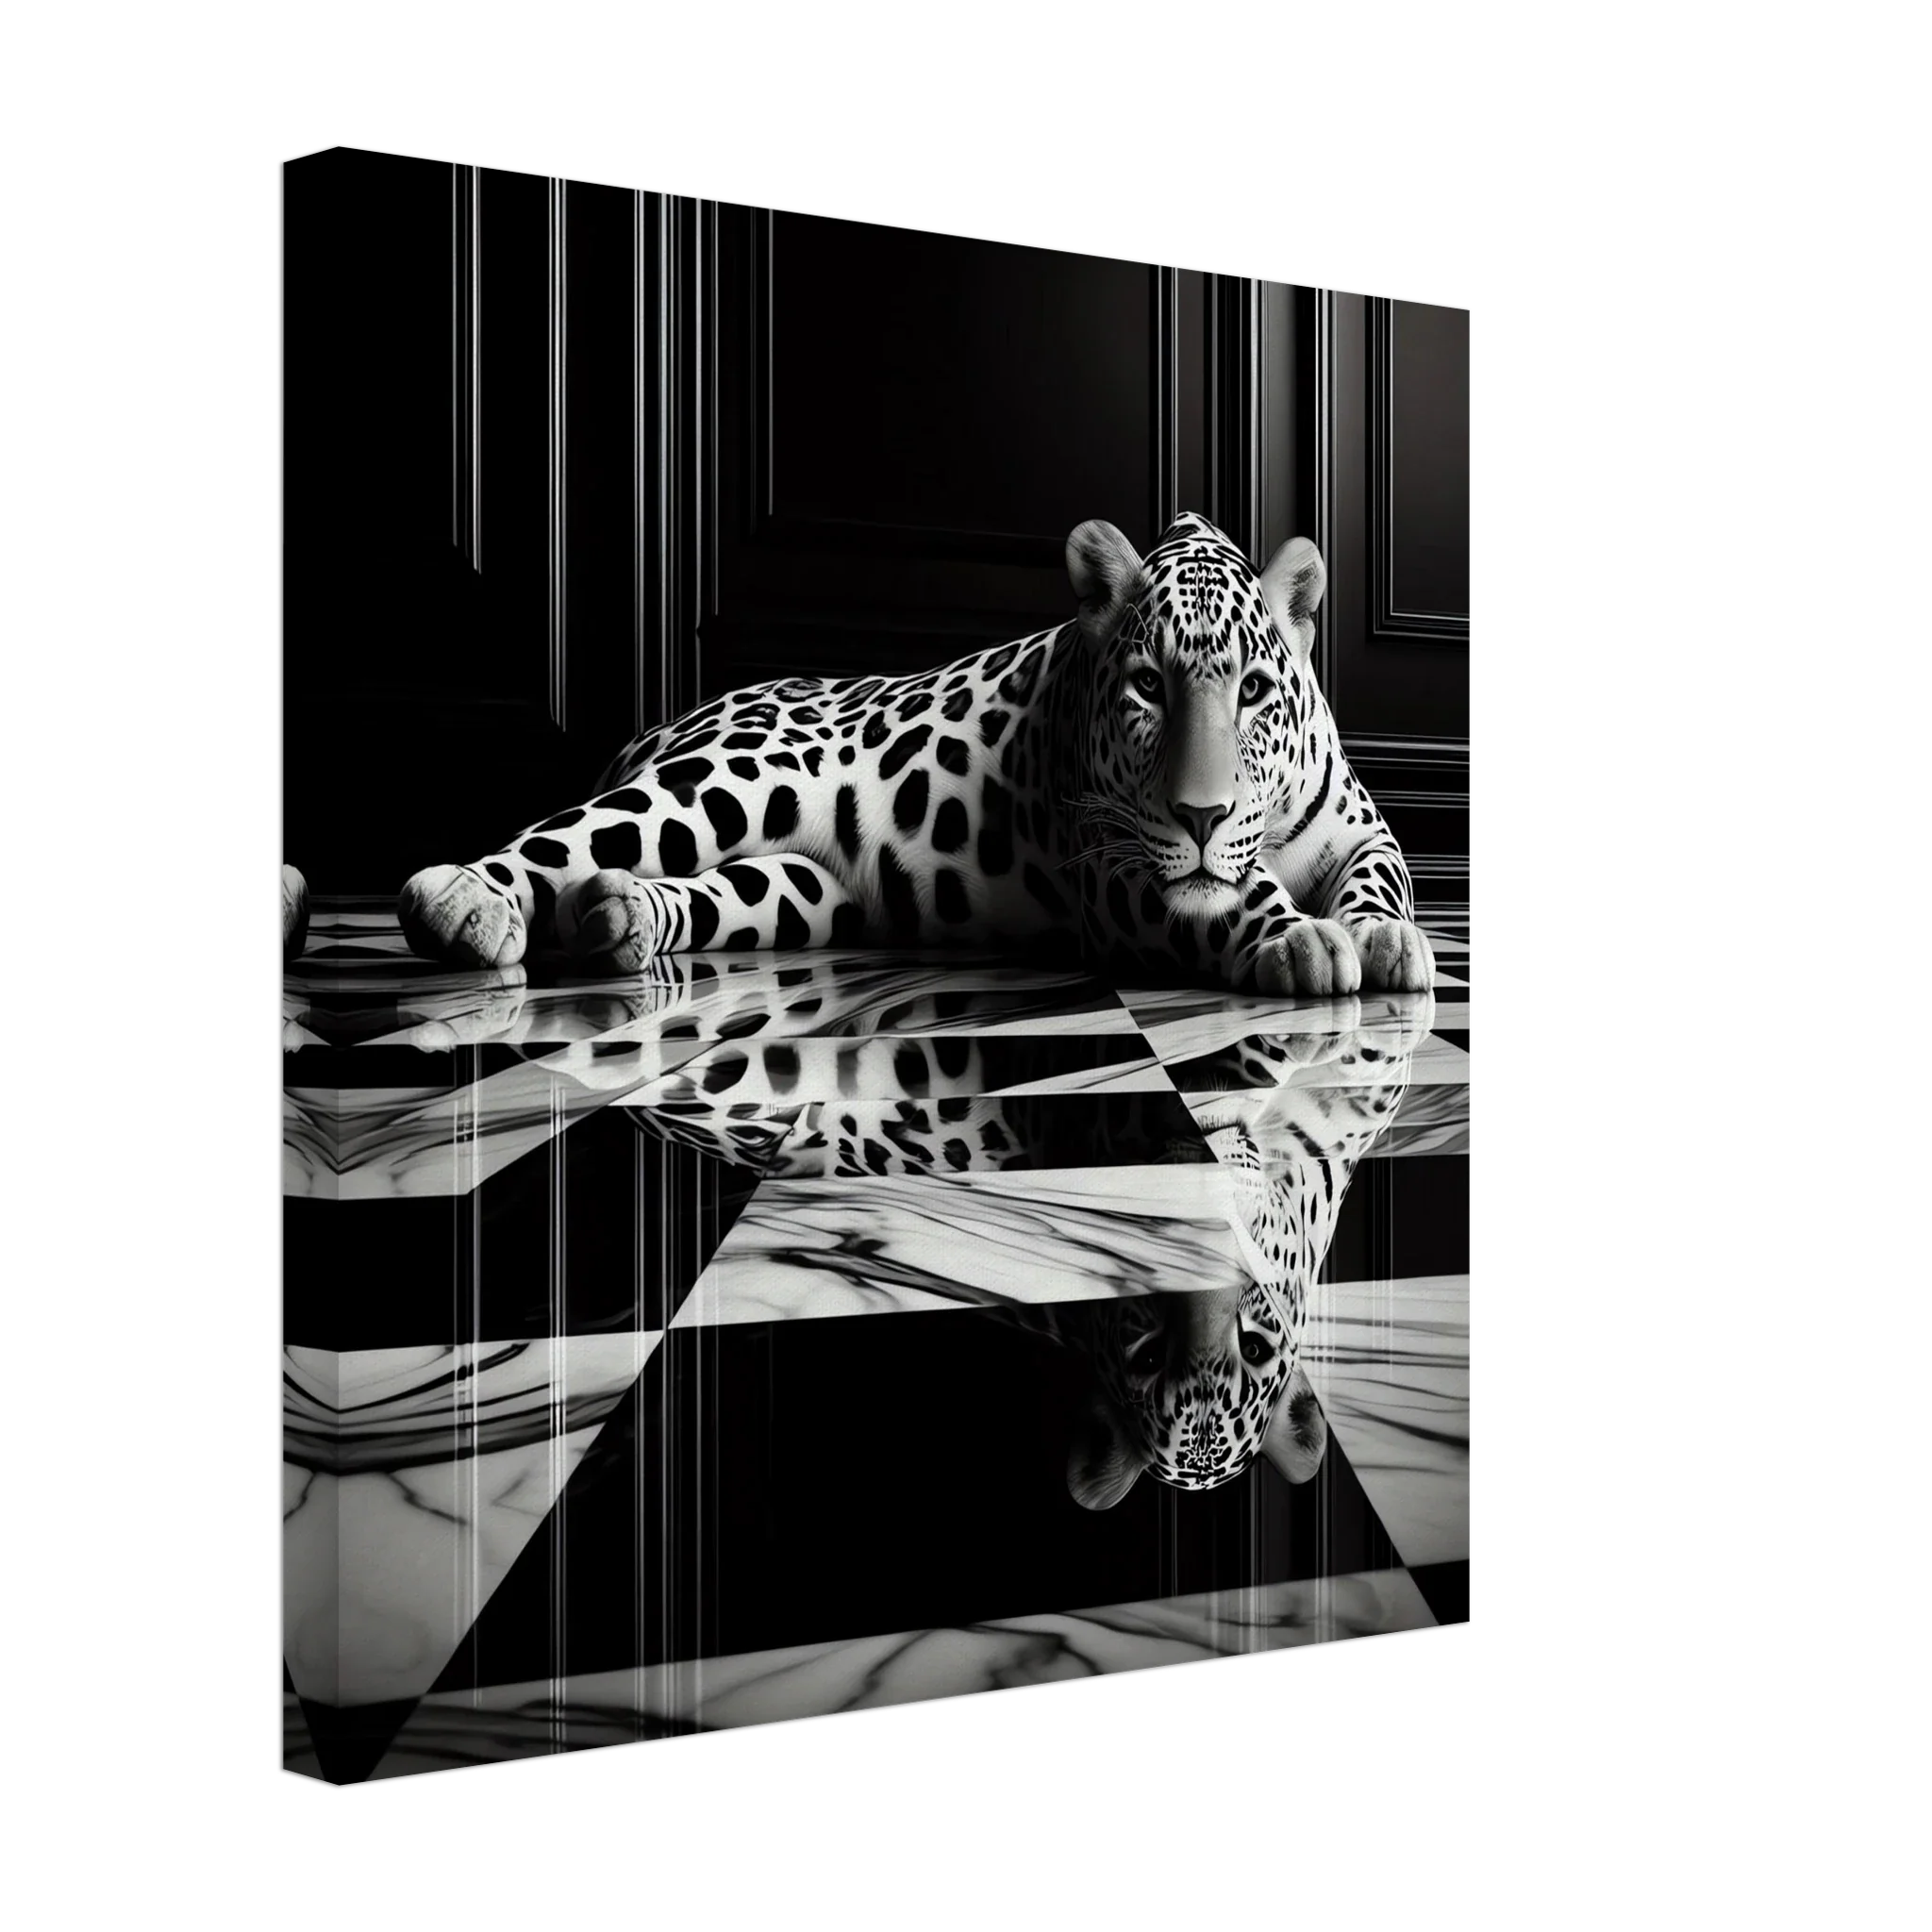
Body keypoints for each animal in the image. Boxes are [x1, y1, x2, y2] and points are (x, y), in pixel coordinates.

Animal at [392, 512, 1434, 998]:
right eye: (1147, 685)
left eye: (1252, 690)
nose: (1202, 814)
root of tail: (660, 725)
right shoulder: (1120, 869)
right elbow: (1236, 892)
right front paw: (1299, 937)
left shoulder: (1364, 831)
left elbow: (1378, 880)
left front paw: (1382, 936)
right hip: (735, 778)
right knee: (567, 835)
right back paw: (463, 903)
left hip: (805, 888)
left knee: (703, 886)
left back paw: (620, 917)